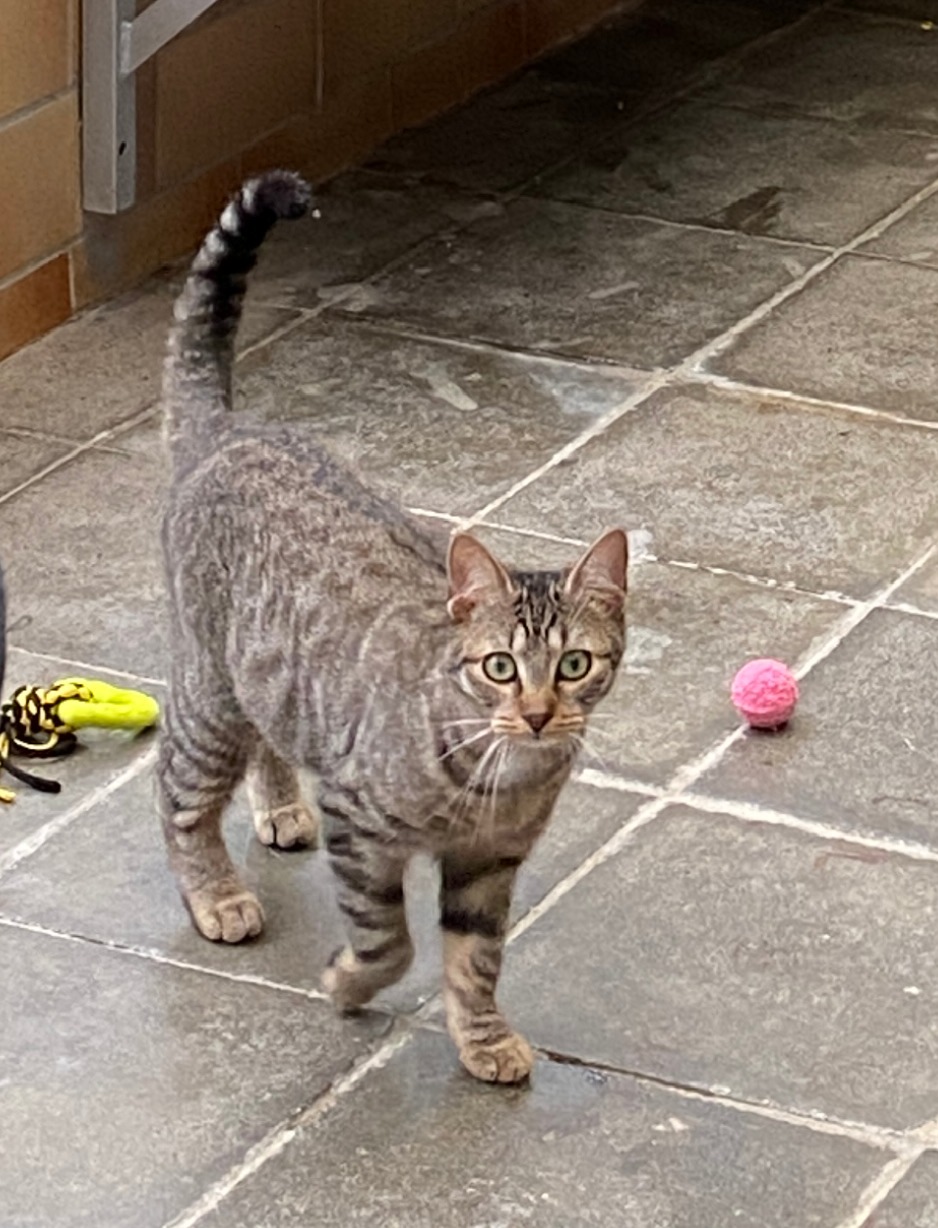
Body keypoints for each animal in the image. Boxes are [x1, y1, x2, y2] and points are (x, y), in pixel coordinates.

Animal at [157, 170, 628, 1084]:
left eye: (576, 665)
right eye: (499, 667)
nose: (540, 715)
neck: (500, 774)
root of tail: (230, 428)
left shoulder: (489, 866)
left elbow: (474, 962)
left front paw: (483, 1040)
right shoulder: (361, 822)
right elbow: (389, 943)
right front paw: (347, 982)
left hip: (269, 678)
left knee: (269, 738)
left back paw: (278, 807)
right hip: (210, 696)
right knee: (179, 796)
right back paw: (216, 895)